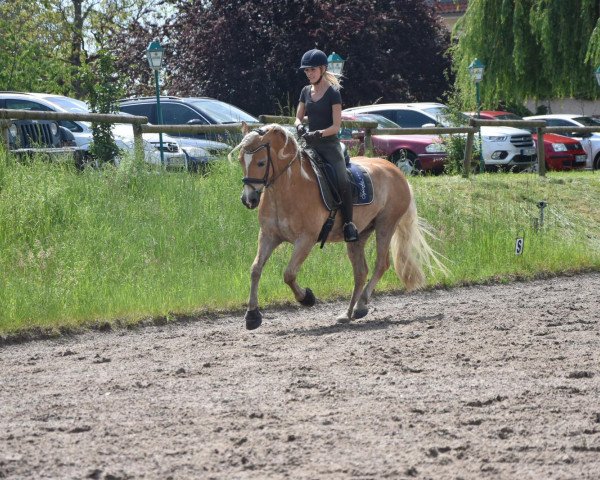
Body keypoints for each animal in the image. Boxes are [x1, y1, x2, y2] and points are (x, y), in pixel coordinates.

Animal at [232, 122, 442, 330]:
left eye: (261, 162)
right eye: (241, 160)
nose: (248, 199)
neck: (289, 187)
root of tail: (397, 171)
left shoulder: (305, 240)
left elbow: (289, 274)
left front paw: (307, 298)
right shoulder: (268, 236)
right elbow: (255, 269)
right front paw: (252, 315)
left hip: (386, 224)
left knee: (381, 264)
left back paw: (361, 305)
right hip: (359, 235)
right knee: (360, 272)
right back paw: (348, 313)